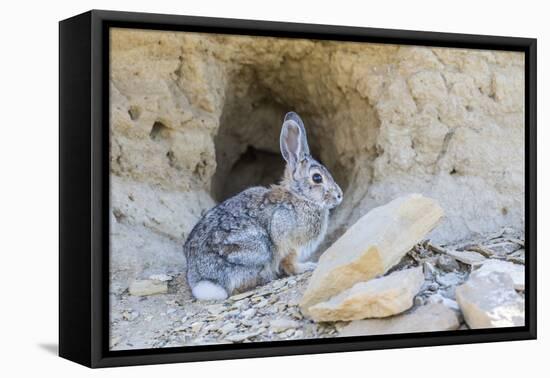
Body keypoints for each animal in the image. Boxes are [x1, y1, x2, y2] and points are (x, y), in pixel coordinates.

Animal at [183, 110, 342, 300]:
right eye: (317, 178)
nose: (339, 196)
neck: (300, 197)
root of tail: (204, 279)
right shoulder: (286, 240)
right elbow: (289, 262)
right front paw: (307, 267)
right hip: (257, 248)